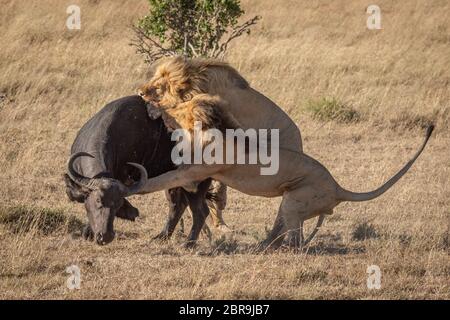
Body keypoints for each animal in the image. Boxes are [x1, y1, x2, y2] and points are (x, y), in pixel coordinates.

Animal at [134, 56, 436, 249]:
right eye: (154, 78)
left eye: (159, 85)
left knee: (290, 231)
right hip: (289, 198)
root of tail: (337, 188)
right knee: (279, 224)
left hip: (293, 198)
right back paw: (259, 242)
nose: (140, 91)